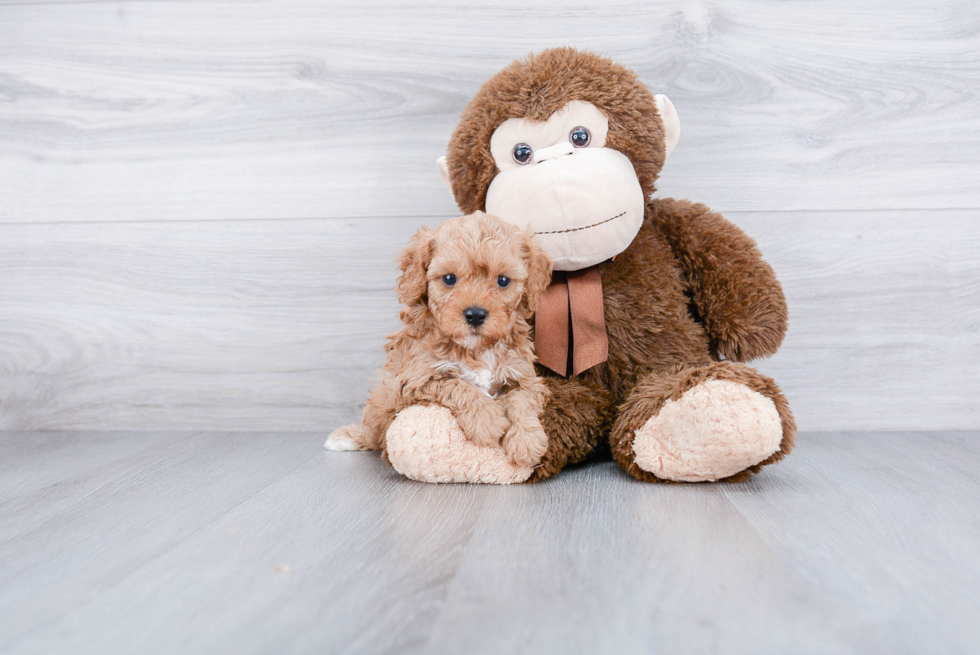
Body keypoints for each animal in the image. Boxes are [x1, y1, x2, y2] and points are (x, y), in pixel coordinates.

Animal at [322, 213, 552, 468]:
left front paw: (526, 441)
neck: (476, 349)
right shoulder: (416, 380)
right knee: (373, 434)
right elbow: (458, 386)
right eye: (449, 278)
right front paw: (486, 420)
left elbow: (522, 400)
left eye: (503, 281)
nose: (475, 314)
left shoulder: (523, 375)